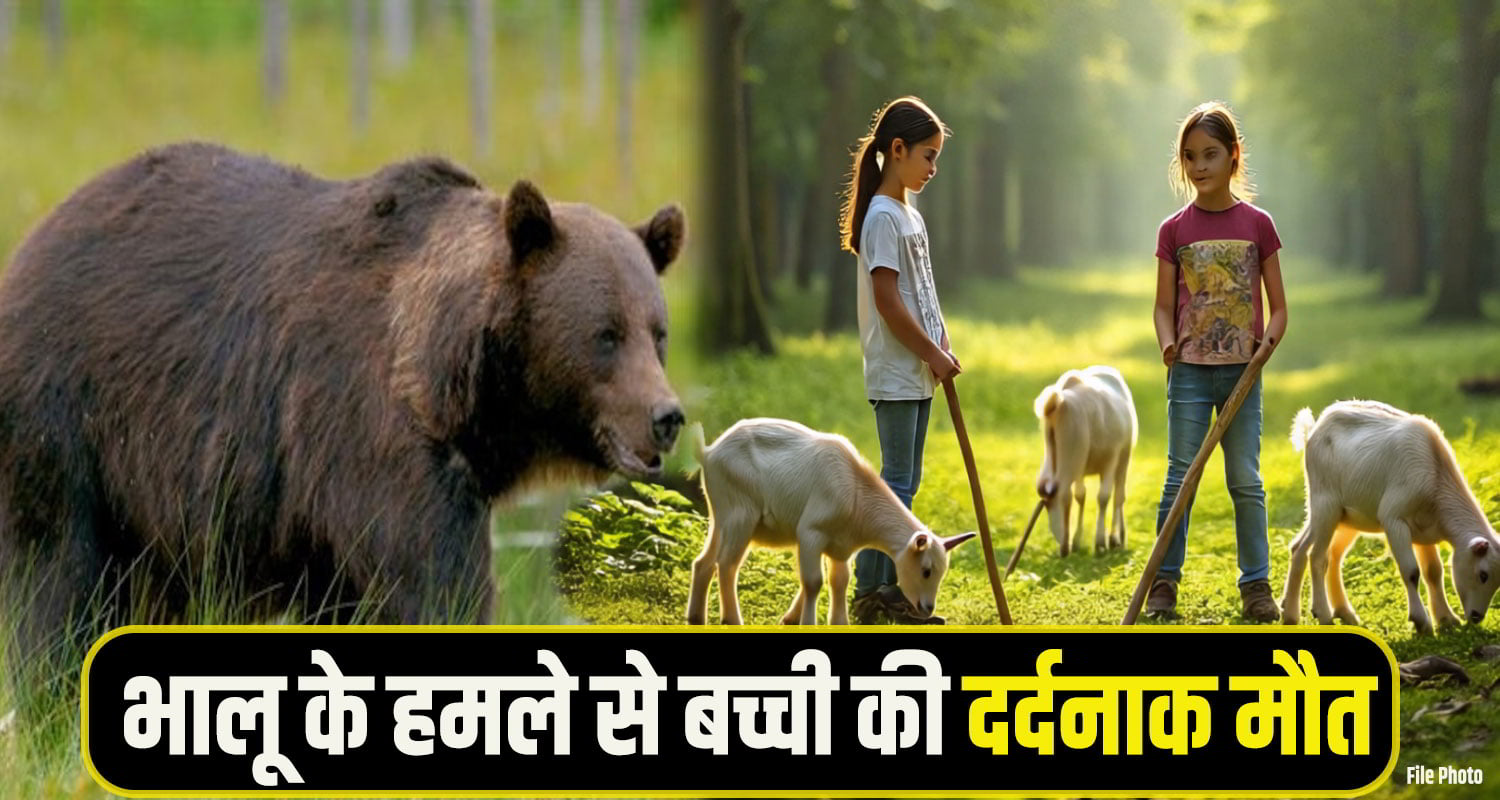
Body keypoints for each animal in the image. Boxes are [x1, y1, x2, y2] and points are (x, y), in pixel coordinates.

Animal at [0, 142, 685, 676]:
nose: (666, 417)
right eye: (605, 334)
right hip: (71, 416)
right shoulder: (370, 441)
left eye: (657, 333)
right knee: (53, 578)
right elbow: (431, 585)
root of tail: (35, 239)